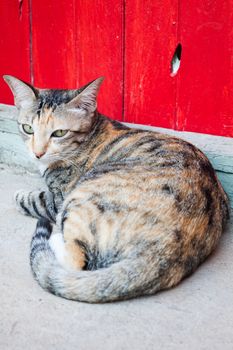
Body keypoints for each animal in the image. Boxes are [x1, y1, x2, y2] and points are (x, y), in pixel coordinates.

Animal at [4, 75, 229, 302]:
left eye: (59, 133)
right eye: (28, 129)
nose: (37, 153)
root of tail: (167, 249)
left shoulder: (58, 198)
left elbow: (38, 199)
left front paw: (20, 196)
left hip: (82, 196)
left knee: (75, 262)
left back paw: (54, 240)